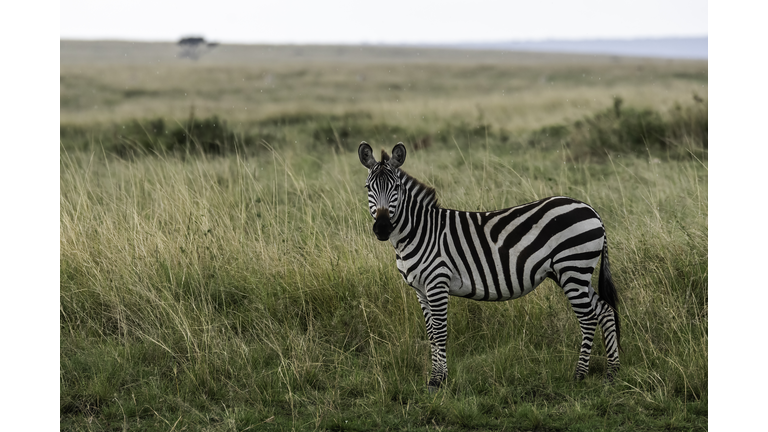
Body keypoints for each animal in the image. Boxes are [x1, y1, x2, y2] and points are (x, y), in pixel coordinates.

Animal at [356, 142, 620, 392]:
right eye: (368, 188)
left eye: (397, 188)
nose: (382, 228)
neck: (419, 232)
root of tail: (591, 210)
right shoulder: (420, 289)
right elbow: (431, 333)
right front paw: (438, 378)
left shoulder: (437, 282)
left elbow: (440, 331)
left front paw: (437, 381)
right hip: (574, 273)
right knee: (605, 311)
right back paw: (612, 374)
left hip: (572, 268)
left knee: (588, 318)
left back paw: (579, 375)